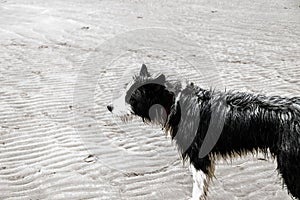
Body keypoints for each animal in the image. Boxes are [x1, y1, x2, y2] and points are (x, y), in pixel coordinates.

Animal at [106, 64, 298, 200]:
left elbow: (198, 187)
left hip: (289, 165)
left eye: (132, 98)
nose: (109, 107)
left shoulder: (198, 155)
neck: (176, 103)